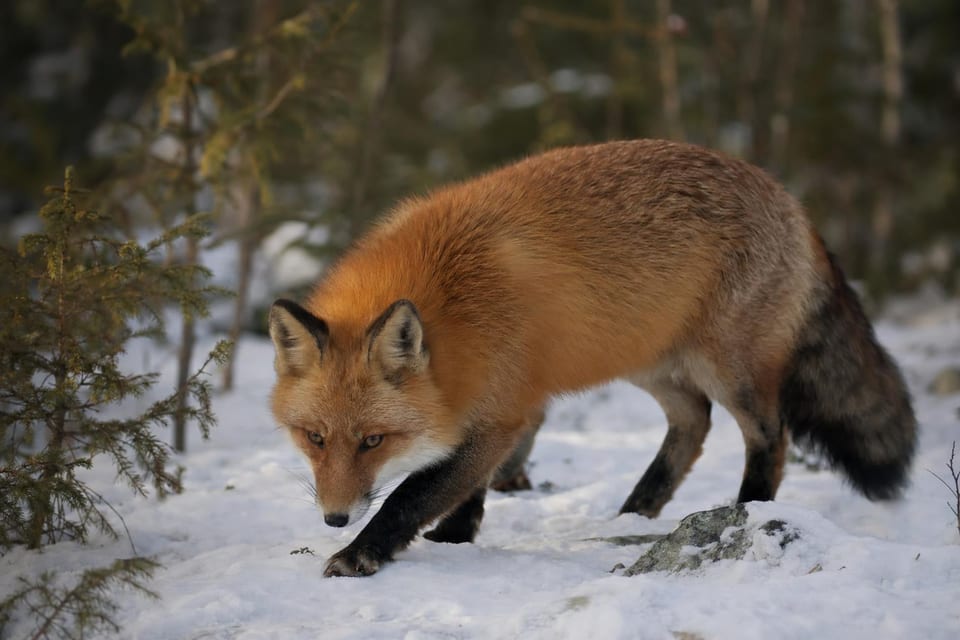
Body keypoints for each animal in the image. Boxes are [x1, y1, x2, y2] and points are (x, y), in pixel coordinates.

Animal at [268, 139, 917, 578]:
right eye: (314, 438)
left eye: (374, 441)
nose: (334, 518)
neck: (456, 298)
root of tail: (790, 201)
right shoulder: (503, 406)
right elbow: (466, 484)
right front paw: (455, 535)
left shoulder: (501, 411)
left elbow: (415, 493)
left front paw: (361, 553)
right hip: (648, 360)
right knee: (693, 423)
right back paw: (636, 513)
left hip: (728, 368)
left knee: (769, 436)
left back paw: (746, 508)